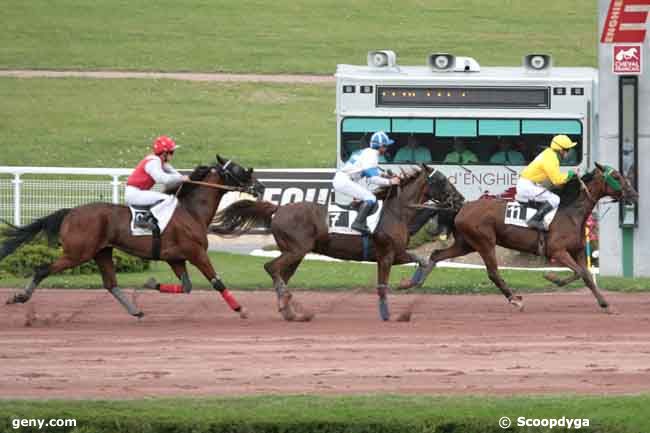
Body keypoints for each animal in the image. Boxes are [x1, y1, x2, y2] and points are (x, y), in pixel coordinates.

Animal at [1, 155, 264, 318]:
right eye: (238, 169)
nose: (260, 187)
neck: (190, 211)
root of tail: (70, 212)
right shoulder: (196, 252)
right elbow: (217, 282)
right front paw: (241, 309)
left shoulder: (175, 258)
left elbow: (186, 286)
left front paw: (151, 283)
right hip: (78, 253)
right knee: (42, 269)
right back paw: (20, 296)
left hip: (102, 252)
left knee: (111, 284)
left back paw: (135, 310)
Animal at [210, 165, 458, 320]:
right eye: (441, 180)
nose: (459, 198)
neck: (395, 212)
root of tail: (278, 208)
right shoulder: (388, 254)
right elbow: (389, 282)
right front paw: (392, 309)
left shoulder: (389, 255)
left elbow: (418, 262)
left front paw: (408, 284)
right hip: (296, 250)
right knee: (271, 268)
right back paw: (287, 305)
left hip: (295, 253)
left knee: (280, 275)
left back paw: (290, 310)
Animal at [398, 162, 636, 310]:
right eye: (617, 176)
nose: (634, 193)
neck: (570, 212)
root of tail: (462, 206)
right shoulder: (557, 251)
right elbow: (580, 273)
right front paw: (552, 277)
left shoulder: (577, 250)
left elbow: (585, 274)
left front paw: (605, 303)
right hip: (485, 242)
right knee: (493, 272)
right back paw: (515, 299)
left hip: (466, 244)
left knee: (436, 254)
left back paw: (412, 283)